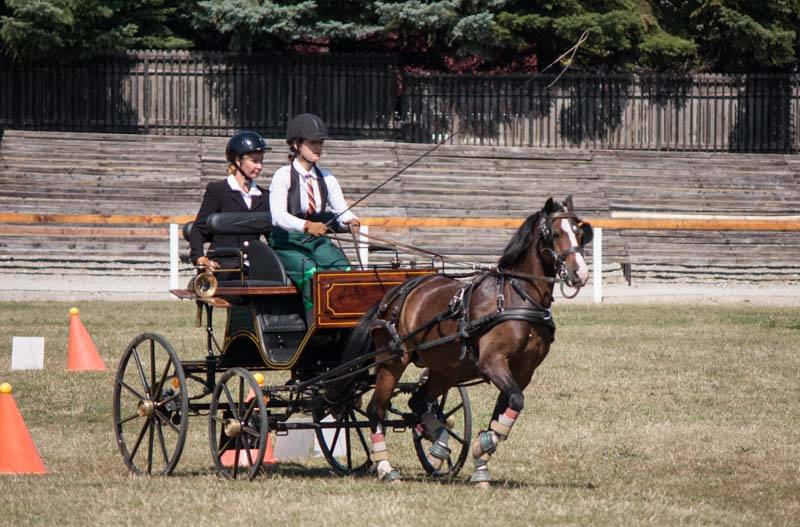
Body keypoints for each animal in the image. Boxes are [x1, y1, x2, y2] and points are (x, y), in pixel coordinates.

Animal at [328, 195, 593, 486]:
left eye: (580, 233)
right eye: (555, 234)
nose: (580, 273)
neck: (515, 297)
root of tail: (396, 293)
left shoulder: (523, 372)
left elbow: (506, 409)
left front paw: (481, 462)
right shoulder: (492, 362)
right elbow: (515, 401)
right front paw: (481, 448)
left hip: (447, 368)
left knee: (418, 402)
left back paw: (438, 447)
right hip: (393, 360)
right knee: (377, 409)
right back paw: (387, 467)